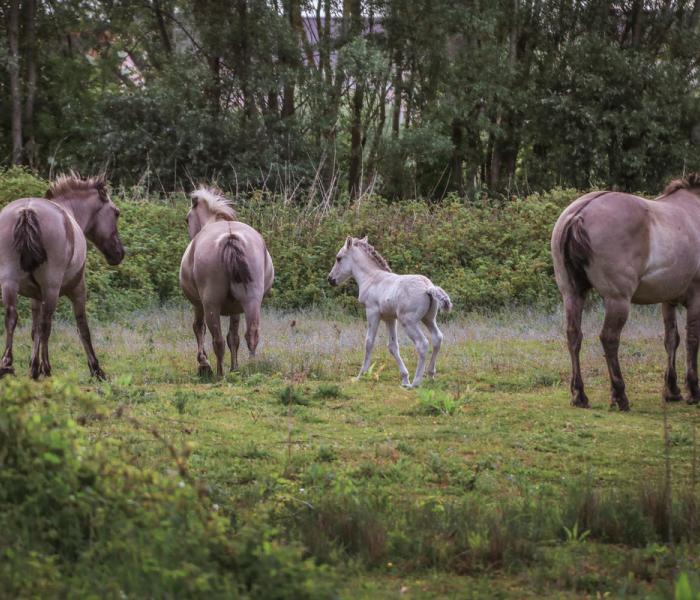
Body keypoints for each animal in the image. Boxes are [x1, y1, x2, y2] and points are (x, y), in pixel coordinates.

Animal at [0, 173, 124, 380]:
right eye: (116, 213)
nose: (119, 253)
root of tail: (27, 211)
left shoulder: (35, 296)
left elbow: (34, 331)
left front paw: (33, 365)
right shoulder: (78, 288)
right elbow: (82, 327)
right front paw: (96, 369)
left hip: (9, 283)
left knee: (12, 317)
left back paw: (7, 365)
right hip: (51, 288)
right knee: (46, 325)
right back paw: (46, 368)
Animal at [179, 185, 274, 378]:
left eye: (187, 219)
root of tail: (230, 237)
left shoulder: (198, 305)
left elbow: (199, 328)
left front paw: (204, 364)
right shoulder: (235, 309)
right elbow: (234, 338)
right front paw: (235, 367)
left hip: (211, 305)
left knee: (218, 340)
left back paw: (220, 374)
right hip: (251, 301)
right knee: (251, 334)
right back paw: (251, 367)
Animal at [328, 237, 454, 386]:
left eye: (339, 258)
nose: (330, 279)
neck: (372, 278)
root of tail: (428, 287)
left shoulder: (372, 312)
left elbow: (369, 342)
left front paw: (361, 375)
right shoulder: (390, 318)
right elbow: (393, 346)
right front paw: (404, 379)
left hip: (408, 322)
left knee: (422, 344)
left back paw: (416, 382)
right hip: (429, 319)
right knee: (437, 338)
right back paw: (430, 375)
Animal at [556, 171, 700, 410]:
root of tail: (579, 214)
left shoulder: (667, 300)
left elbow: (672, 340)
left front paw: (672, 390)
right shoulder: (696, 299)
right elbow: (692, 340)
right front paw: (693, 391)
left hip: (572, 294)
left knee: (574, 336)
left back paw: (579, 395)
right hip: (618, 300)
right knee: (609, 338)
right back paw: (619, 395)